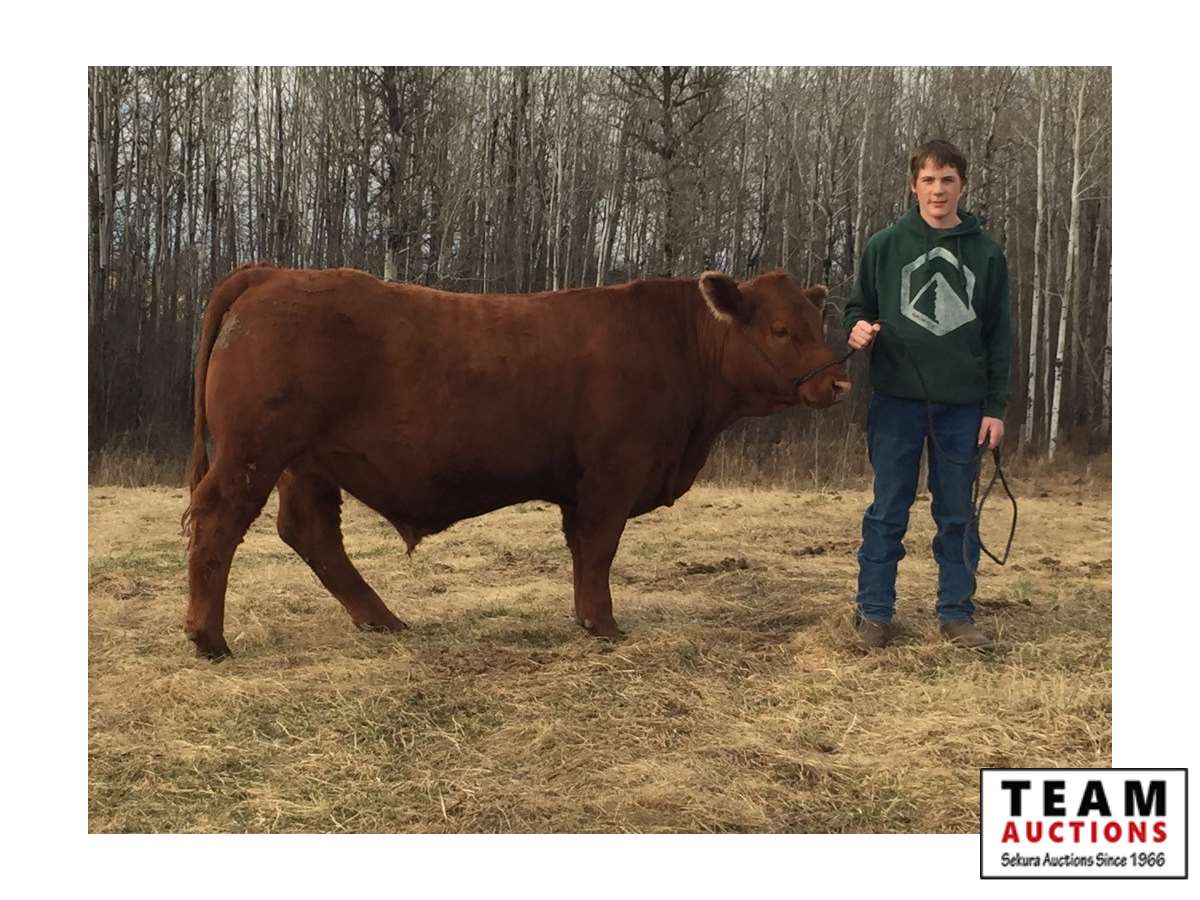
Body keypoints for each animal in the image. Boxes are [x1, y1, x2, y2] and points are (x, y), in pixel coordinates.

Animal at [182, 265, 851, 659]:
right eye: (782, 328)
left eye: (818, 321)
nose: (838, 383)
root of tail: (276, 273)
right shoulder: (613, 472)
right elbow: (599, 548)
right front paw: (604, 626)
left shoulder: (582, 486)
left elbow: (583, 550)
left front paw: (586, 618)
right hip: (254, 452)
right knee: (219, 523)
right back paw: (208, 637)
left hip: (308, 462)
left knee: (311, 533)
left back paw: (383, 621)